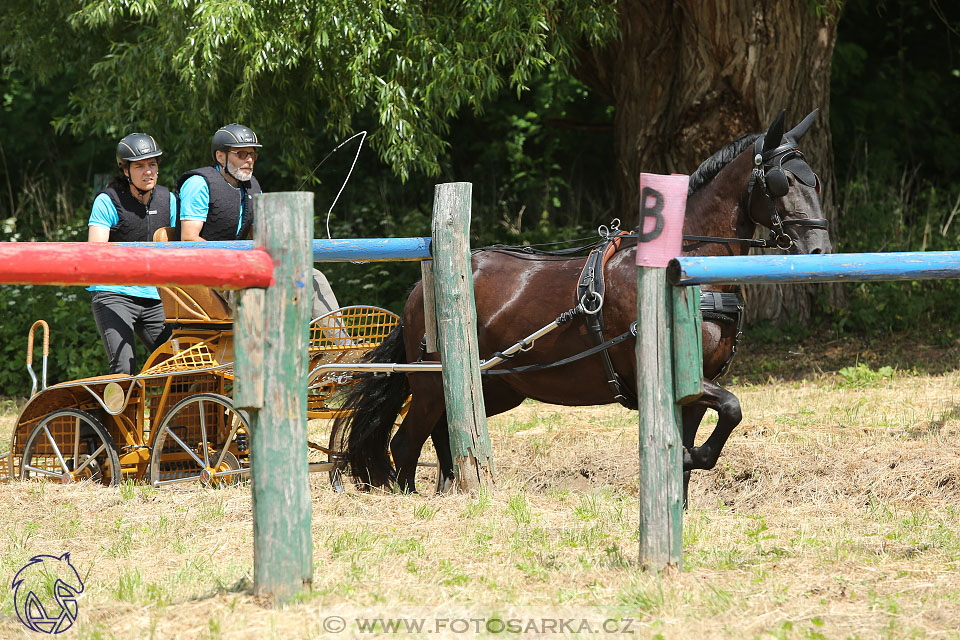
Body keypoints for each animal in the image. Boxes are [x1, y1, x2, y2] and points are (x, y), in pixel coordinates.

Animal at [334, 107, 828, 492]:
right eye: (782, 182)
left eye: (816, 180)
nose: (819, 251)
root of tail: (423, 287)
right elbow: (730, 409)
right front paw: (689, 460)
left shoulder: (694, 382)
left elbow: (703, 439)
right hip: (433, 383)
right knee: (406, 443)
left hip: (493, 386)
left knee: (448, 433)